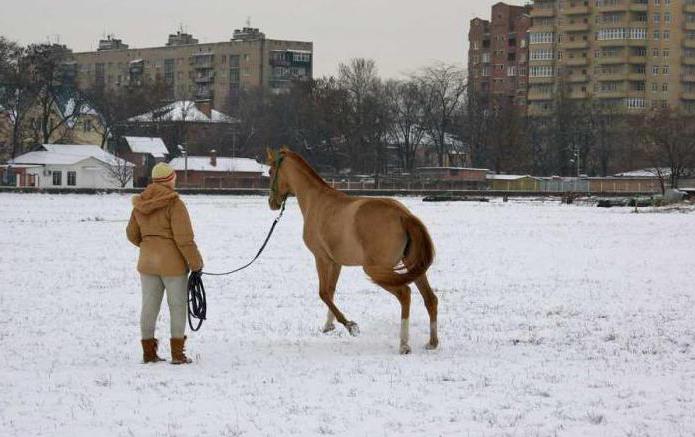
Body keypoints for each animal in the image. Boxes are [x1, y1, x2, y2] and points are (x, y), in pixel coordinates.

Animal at [268, 148, 440, 352]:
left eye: (270, 172)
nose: (271, 203)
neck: (317, 201)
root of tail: (404, 215)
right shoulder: (336, 263)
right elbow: (331, 291)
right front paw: (328, 326)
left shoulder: (321, 258)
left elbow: (323, 293)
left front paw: (350, 326)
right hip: (412, 266)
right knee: (430, 299)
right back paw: (432, 342)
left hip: (376, 270)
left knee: (405, 294)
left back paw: (404, 345)